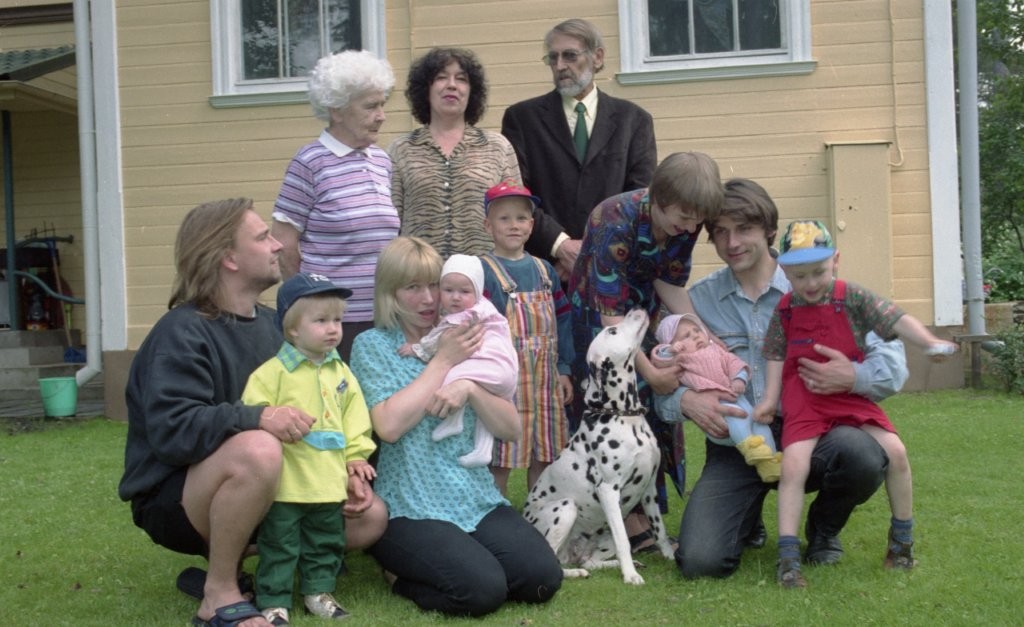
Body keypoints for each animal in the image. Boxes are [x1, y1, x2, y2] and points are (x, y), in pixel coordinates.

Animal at [523, 308, 674, 584]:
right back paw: (577, 572)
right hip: (566, 508)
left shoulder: (649, 489)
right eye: (612, 330)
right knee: (556, 563)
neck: (624, 415)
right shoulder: (608, 491)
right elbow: (625, 542)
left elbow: (659, 531)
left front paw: (669, 556)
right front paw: (630, 576)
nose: (635, 308)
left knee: (590, 561)